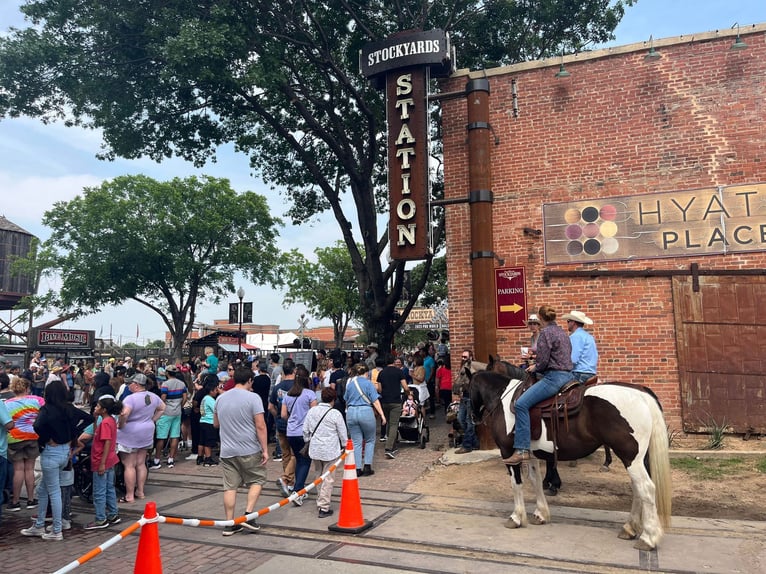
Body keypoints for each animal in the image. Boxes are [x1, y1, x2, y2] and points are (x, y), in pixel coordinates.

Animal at [462, 362, 672, 552]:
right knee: (638, 489)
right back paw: (629, 529)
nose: (472, 418)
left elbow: (517, 484)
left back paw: (648, 538)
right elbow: (535, 480)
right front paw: (540, 514)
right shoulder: (530, 454)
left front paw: (516, 517)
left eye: (465, 387)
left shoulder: (507, 452)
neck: (503, 399)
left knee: (646, 489)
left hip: (630, 457)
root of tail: (641, 393)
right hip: (637, 459)